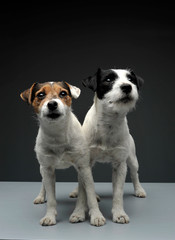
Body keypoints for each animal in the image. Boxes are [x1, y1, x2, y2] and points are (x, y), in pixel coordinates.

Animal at [20, 81, 105, 226]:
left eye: (63, 93)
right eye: (40, 95)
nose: (52, 104)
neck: (57, 134)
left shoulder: (83, 167)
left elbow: (90, 194)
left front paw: (96, 216)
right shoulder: (47, 169)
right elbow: (51, 198)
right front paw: (49, 216)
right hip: (42, 168)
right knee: (43, 183)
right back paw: (40, 196)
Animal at [70, 67, 146, 223]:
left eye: (131, 79)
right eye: (108, 79)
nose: (127, 86)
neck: (108, 123)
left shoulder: (120, 164)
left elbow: (118, 193)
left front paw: (119, 213)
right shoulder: (85, 163)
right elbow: (83, 192)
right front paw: (79, 212)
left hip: (132, 159)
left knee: (134, 174)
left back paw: (139, 190)